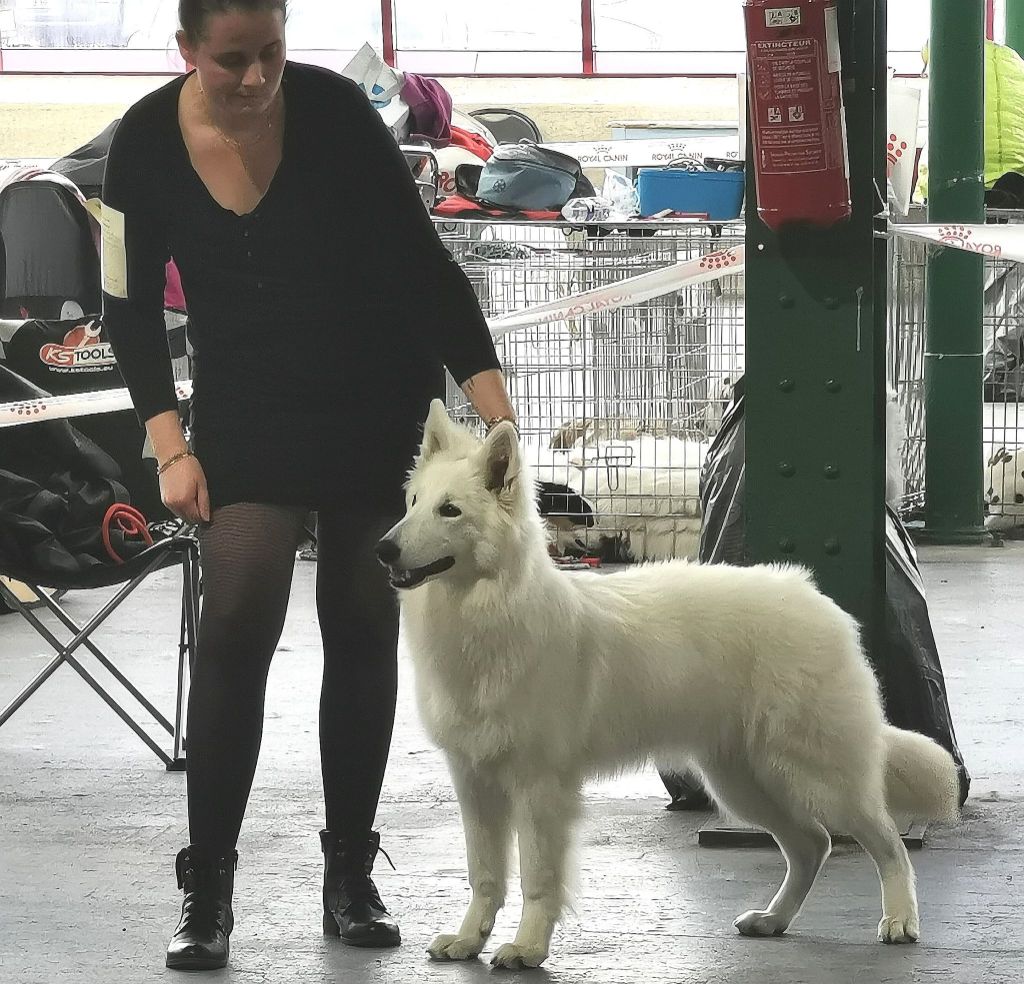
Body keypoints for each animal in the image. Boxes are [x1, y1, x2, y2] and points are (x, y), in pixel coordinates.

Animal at [376, 399, 958, 966]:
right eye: (412, 503)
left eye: (450, 510)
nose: (384, 549)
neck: (487, 616)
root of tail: (815, 598)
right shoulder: (474, 783)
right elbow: (484, 875)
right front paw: (468, 939)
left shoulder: (540, 788)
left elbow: (538, 879)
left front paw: (527, 948)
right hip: (744, 783)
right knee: (813, 845)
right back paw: (774, 920)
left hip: (820, 777)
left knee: (886, 842)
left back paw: (900, 920)